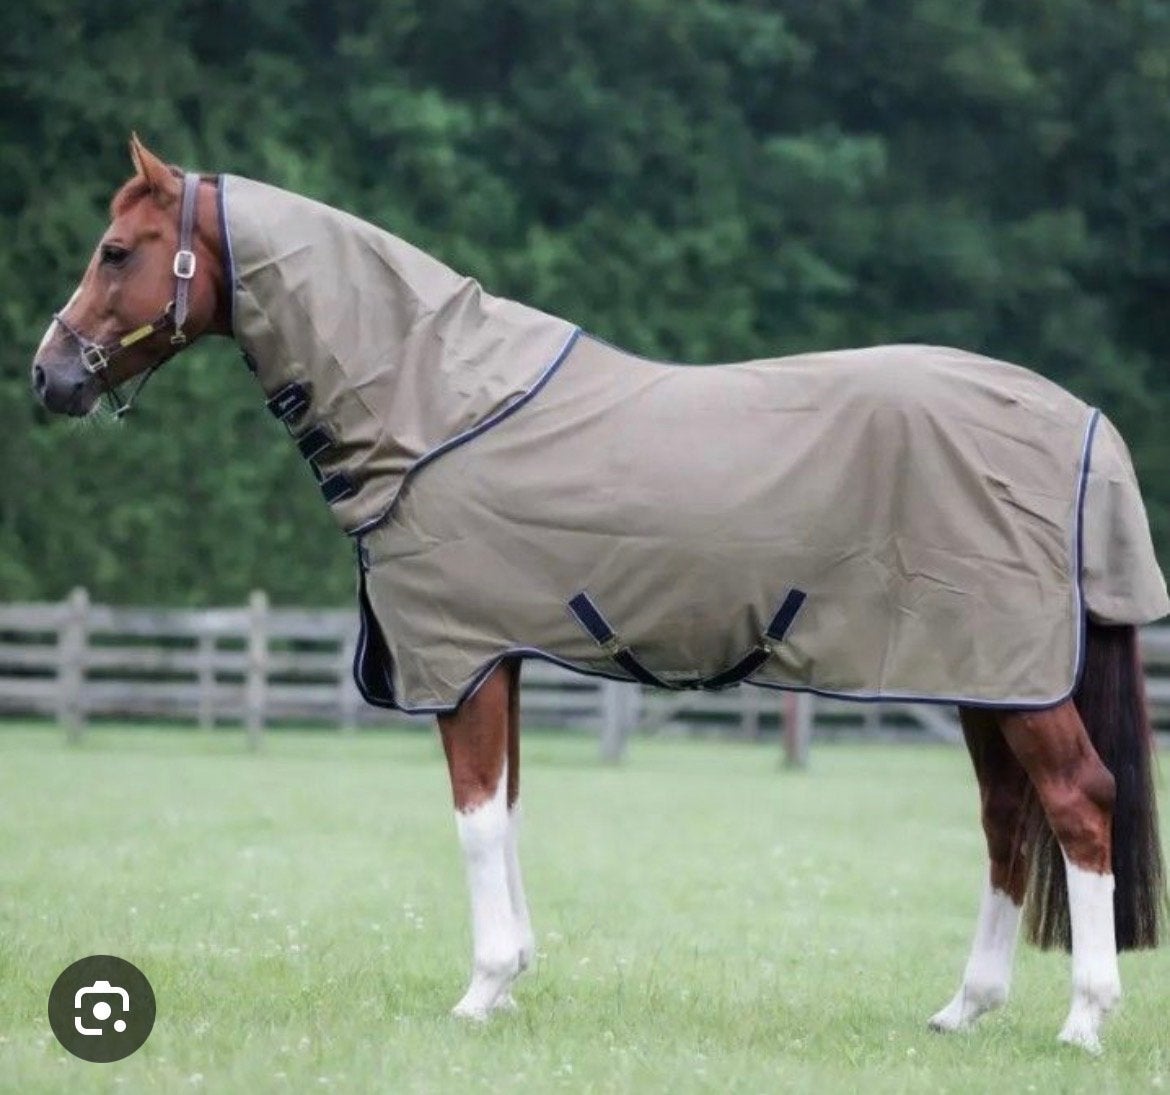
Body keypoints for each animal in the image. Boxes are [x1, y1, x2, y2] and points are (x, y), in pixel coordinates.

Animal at [30, 136, 1166, 1053]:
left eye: (117, 250)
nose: (49, 378)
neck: (435, 403)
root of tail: (1083, 423)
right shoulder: (500, 658)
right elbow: (508, 809)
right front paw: (512, 982)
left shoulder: (459, 661)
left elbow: (473, 819)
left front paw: (478, 992)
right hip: (988, 680)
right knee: (1007, 820)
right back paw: (964, 1009)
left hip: (1012, 679)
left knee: (1079, 803)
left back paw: (1083, 1019)